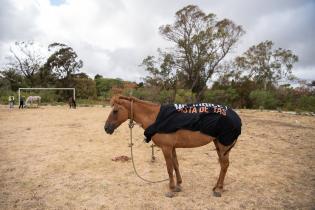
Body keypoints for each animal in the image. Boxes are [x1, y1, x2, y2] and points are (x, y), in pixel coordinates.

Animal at [105, 95, 238, 197]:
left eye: (115, 111)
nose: (106, 128)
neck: (155, 117)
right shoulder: (172, 147)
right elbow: (176, 165)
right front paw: (178, 185)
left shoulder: (166, 148)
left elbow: (169, 169)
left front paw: (171, 189)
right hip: (218, 144)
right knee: (223, 164)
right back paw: (216, 186)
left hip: (223, 145)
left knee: (225, 165)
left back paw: (219, 189)